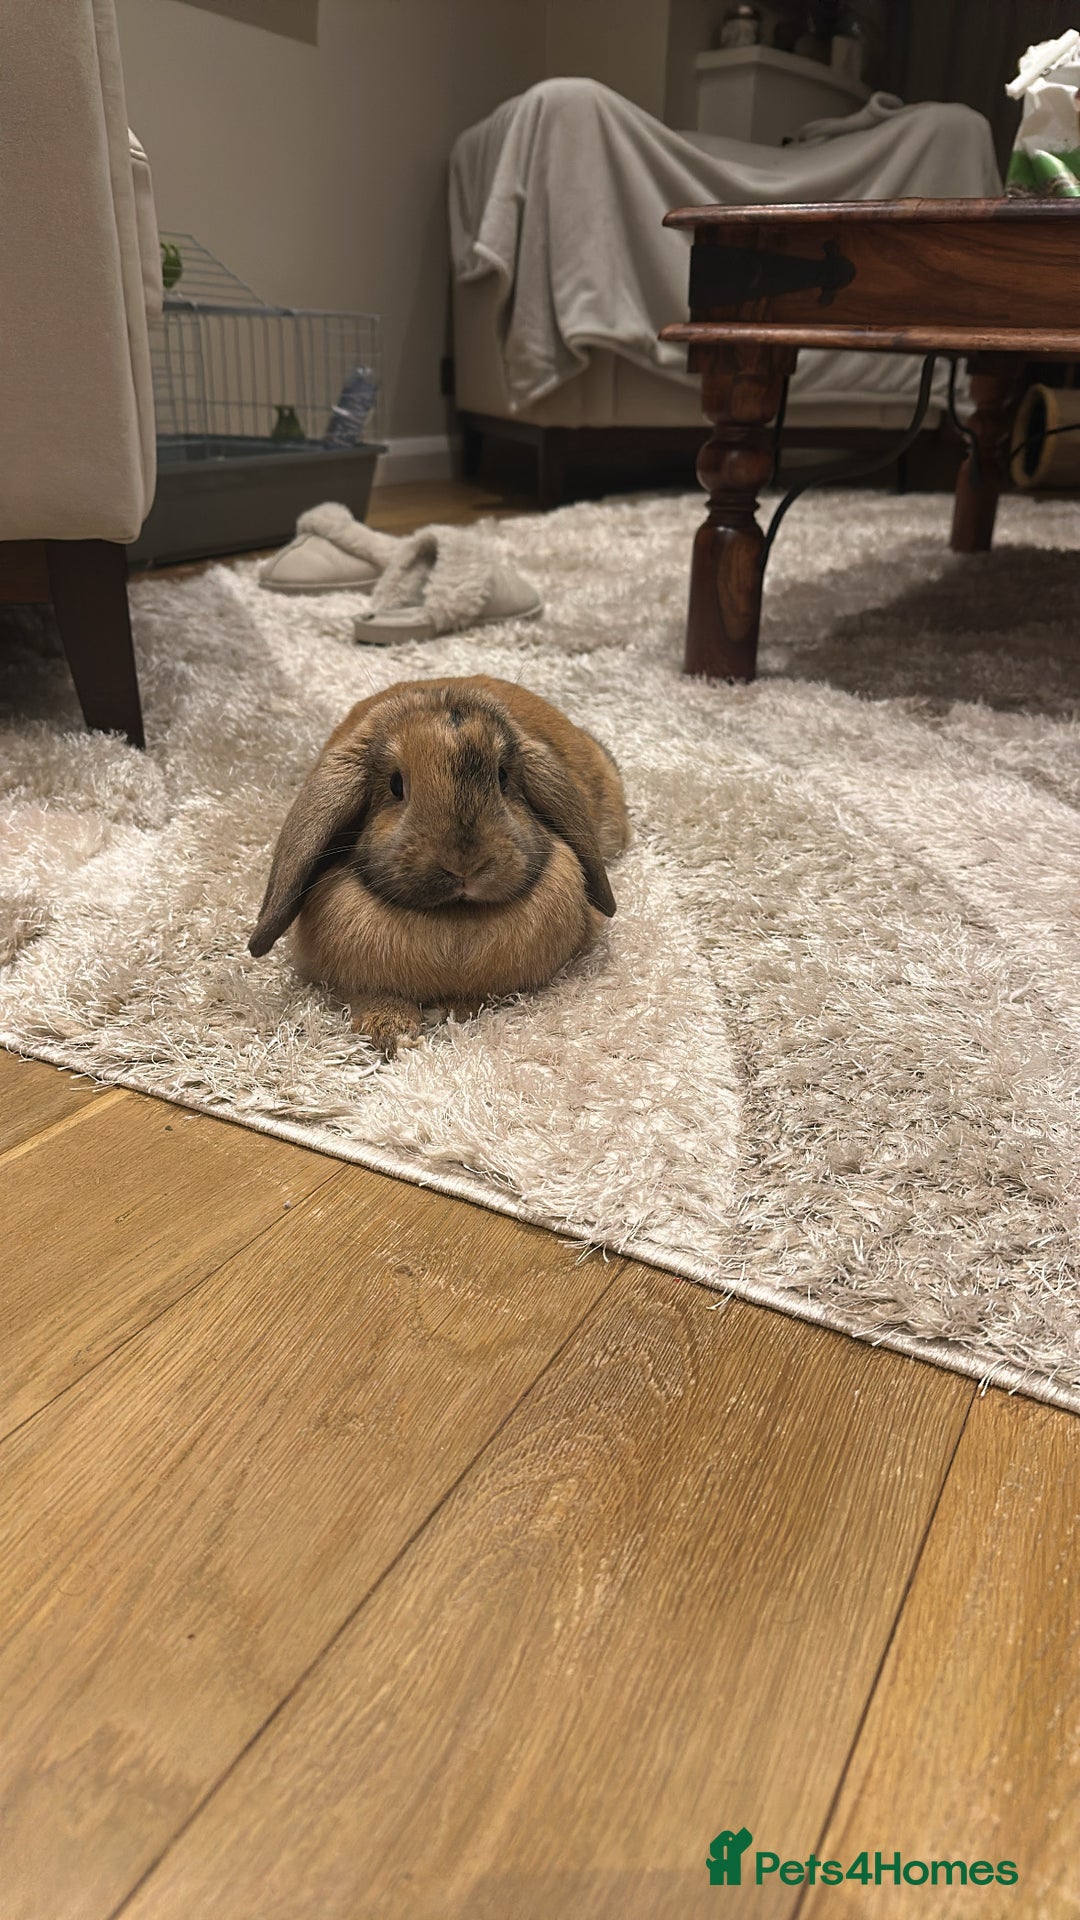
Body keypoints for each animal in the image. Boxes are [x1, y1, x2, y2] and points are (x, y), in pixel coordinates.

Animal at [248, 674, 631, 1053]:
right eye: (396, 784)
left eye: (503, 777)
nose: (465, 865)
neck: (453, 918)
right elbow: (370, 997)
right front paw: (391, 1031)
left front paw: (442, 1013)